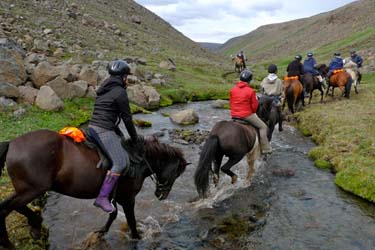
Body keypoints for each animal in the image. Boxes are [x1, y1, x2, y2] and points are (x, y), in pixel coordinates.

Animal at [0, 129, 188, 248]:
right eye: (177, 173)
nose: (162, 194)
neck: (138, 160)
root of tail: (12, 143)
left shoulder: (114, 196)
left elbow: (113, 215)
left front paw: (101, 232)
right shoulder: (128, 199)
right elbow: (131, 221)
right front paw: (137, 239)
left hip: (25, 189)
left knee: (6, 205)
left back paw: (32, 226)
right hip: (34, 189)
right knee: (7, 208)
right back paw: (13, 240)